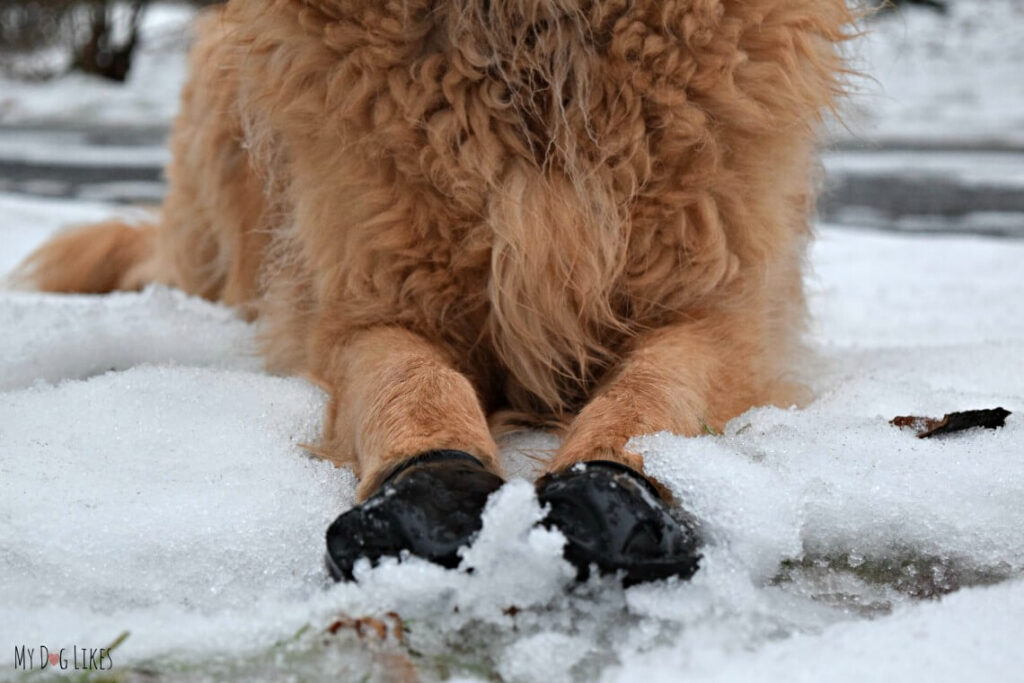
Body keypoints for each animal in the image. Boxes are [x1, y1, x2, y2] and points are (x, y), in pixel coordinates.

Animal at [16, 0, 851, 585]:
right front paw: (427, 489)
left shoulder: (727, 313)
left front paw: (615, 491)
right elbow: (412, 378)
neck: (532, 44)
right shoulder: (359, 307)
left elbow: (651, 388)